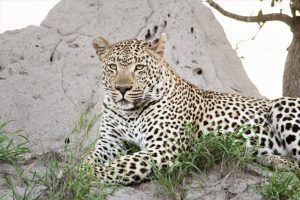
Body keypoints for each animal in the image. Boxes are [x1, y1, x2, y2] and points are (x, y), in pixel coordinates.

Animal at [86, 32, 300, 184]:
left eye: (139, 67)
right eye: (112, 67)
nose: (122, 88)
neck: (129, 113)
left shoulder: (164, 148)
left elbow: (121, 165)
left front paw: (90, 174)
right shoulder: (111, 140)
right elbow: (92, 156)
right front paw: (83, 168)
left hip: (281, 104)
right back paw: (271, 159)